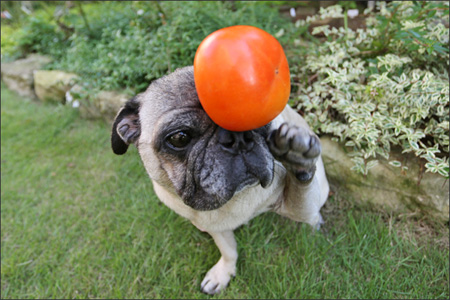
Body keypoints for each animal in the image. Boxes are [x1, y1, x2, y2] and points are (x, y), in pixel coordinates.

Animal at [111, 66, 330, 296]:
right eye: (179, 138)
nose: (238, 138)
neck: (236, 200)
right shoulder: (215, 226)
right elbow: (228, 250)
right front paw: (224, 272)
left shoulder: (294, 205)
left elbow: (302, 192)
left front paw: (296, 156)